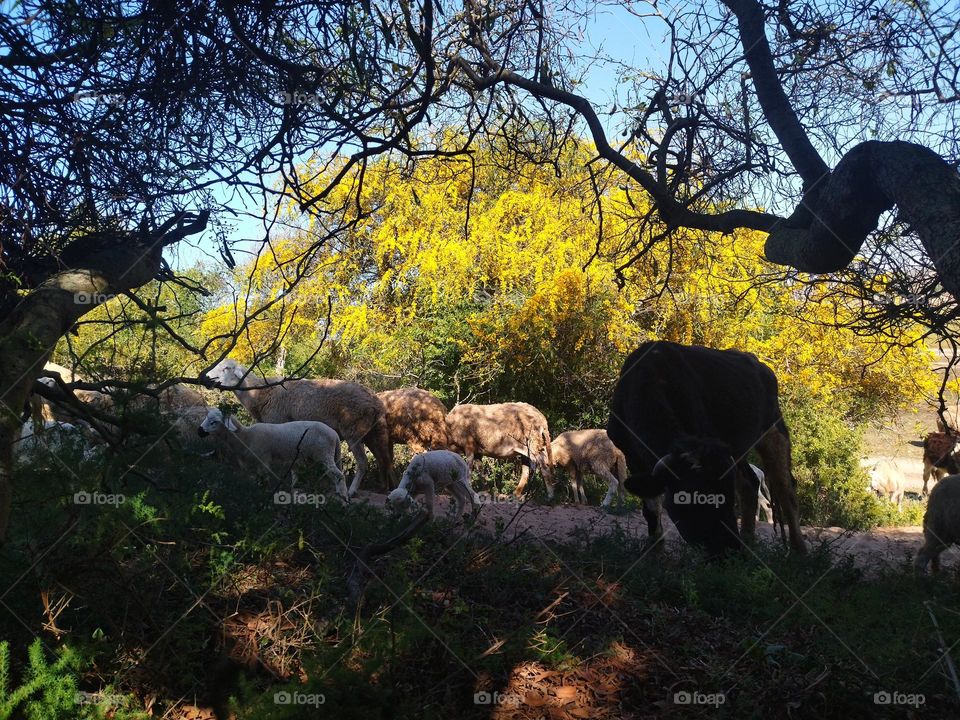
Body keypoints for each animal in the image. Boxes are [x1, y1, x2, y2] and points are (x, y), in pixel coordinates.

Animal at [196, 408, 348, 498]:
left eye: (214, 422)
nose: (199, 431)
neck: (246, 437)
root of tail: (334, 435)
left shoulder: (264, 461)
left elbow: (264, 482)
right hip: (314, 458)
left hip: (324, 454)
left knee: (339, 476)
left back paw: (342, 503)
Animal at [612, 340, 808, 556]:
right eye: (688, 500)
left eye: (728, 499)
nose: (730, 549)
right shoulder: (631, 456)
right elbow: (651, 508)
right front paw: (655, 554)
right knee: (749, 484)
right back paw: (749, 542)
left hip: (774, 430)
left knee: (785, 490)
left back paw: (799, 551)